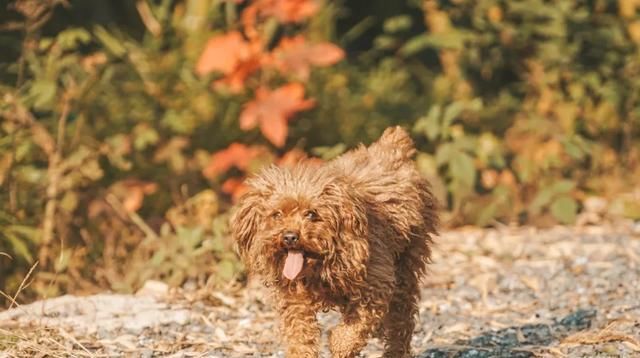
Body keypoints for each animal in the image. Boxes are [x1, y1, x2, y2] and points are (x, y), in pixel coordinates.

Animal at [231, 126, 440, 358]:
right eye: (277, 214)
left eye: (311, 214)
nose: (289, 237)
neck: (320, 264)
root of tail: (390, 149)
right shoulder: (294, 300)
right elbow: (300, 336)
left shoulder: (375, 283)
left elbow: (354, 328)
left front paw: (340, 344)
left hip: (406, 265)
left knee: (401, 319)